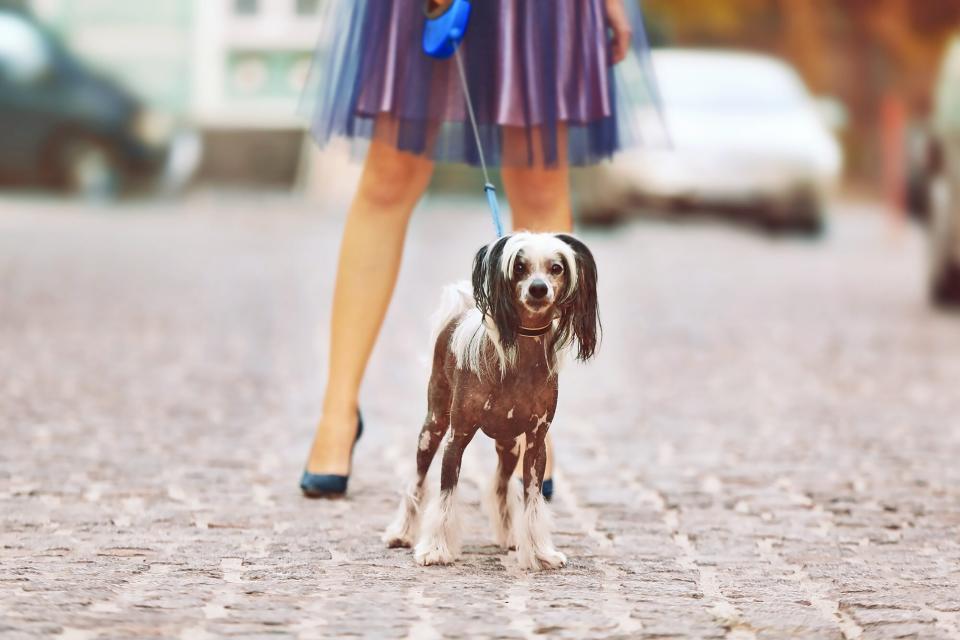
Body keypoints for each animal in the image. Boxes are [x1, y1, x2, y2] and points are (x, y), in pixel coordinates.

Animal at [384, 231, 600, 568]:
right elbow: (446, 497)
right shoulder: (456, 438)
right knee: (417, 480)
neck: (520, 360)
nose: (539, 288)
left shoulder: (535, 444)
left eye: (556, 268)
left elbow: (532, 502)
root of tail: (458, 313)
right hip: (433, 426)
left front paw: (539, 552)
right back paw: (402, 532)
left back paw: (510, 535)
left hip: (509, 445)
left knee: (500, 484)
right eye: (520, 266)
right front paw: (435, 548)